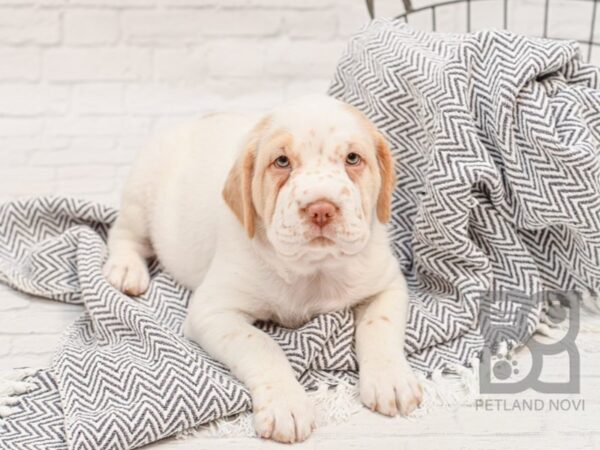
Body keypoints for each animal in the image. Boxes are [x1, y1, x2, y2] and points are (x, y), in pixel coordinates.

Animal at [103, 95, 422, 442]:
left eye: (353, 158)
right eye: (281, 162)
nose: (321, 209)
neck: (312, 268)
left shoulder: (387, 284)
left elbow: (379, 326)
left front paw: (391, 379)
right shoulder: (213, 311)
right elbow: (261, 345)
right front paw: (286, 404)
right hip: (139, 198)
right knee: (123, 234)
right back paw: (126, 270)